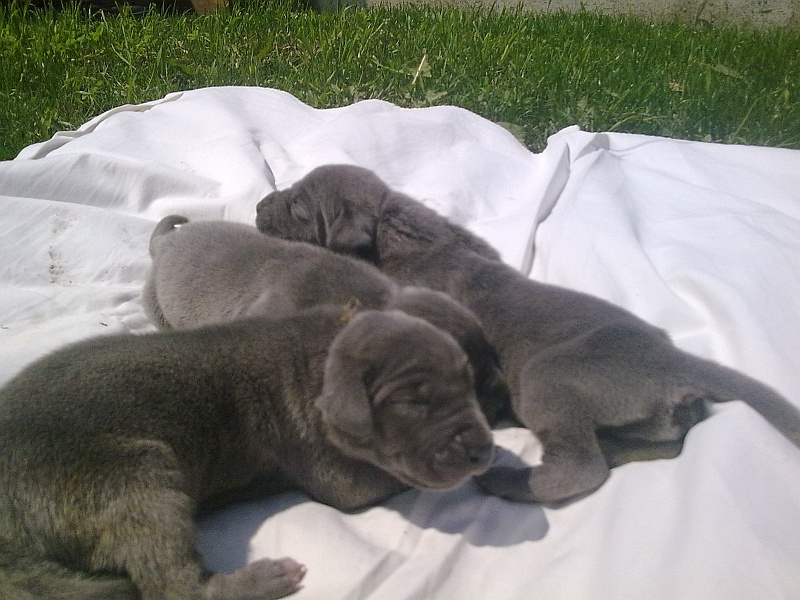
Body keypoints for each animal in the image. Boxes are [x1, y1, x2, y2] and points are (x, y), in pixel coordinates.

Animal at [0, 305, 494, 599]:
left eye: (468, 384)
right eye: (414, 404)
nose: (483, 452)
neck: (321, 356)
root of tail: (13, 542)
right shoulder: (332, 469)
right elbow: (384, 479)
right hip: (135, 477)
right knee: (175, 586)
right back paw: (265, 580)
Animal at [254, 164, 800, 504]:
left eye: (298, 203)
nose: (258, 205)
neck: (397, 232)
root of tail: (679, 363)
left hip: (547, 377)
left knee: (582, 468)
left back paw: (511, 482)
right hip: (642, 420)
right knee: (660, 446)